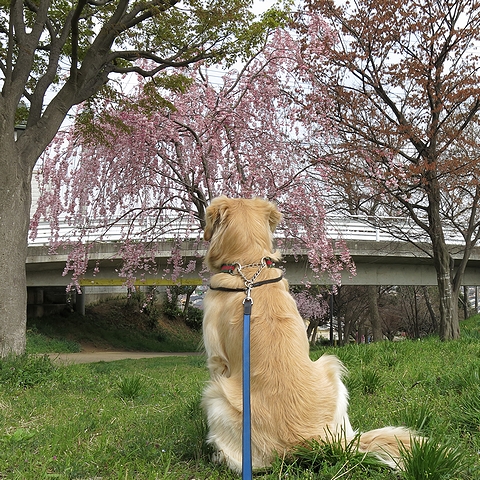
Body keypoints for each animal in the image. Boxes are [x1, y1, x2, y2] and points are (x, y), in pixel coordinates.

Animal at [201, 196, 414, 472]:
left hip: (216, 396)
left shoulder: (217, 360)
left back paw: (218, 456)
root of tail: (308, 442)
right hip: (332, 372)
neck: (248, 265)